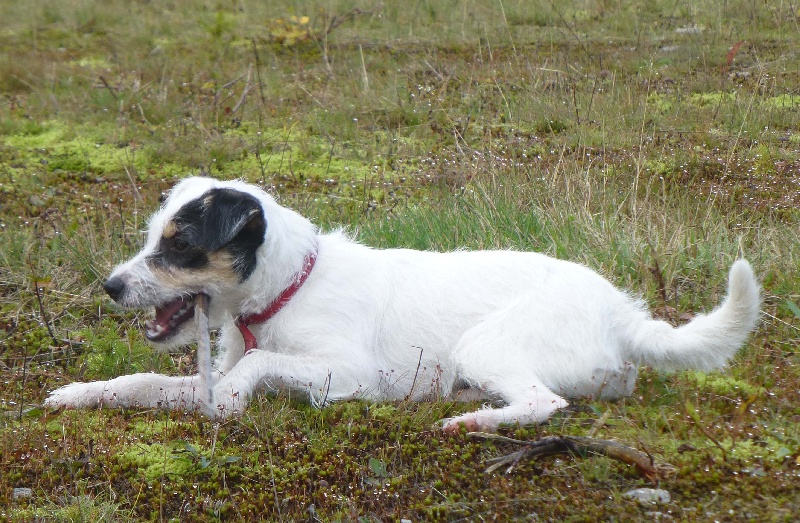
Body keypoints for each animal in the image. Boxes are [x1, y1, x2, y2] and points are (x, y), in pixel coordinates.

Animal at [45, 178, 764, 432]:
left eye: (180, 245)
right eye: (152, 238)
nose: (111, 286)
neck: (290, 286)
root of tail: (625, 316)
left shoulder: (351, 372)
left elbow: (251, 371)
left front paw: (238, 399)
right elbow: (139, 380)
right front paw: (81, 392)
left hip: (485, 344)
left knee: (545, 404)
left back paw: (471, 421)